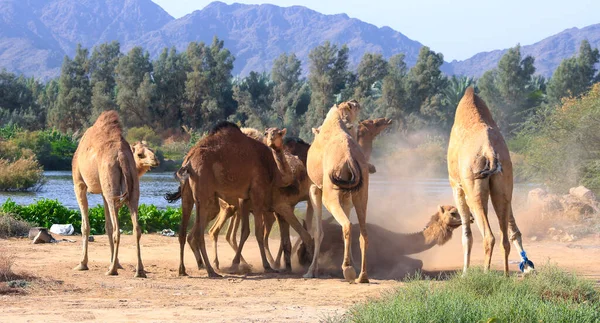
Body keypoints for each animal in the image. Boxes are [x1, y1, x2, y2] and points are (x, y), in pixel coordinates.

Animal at [71, 111, 159, 278]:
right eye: (140, 154)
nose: (155, 160)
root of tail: (121, 156)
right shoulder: (107, 193)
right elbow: (108, 226)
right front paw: (116, 262)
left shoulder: (79, 184)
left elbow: (85, 225)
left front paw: (82, 264)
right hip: (130, 189)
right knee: (136, 228)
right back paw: (139, 271)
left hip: (108, 185)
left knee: (118, 230)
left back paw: (111, 270)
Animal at [164, 122, 314, 278]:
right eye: (267, 133)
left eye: (279, 133)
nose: (272, 139)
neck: (275, 171)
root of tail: (188, 162)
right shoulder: (258, 192)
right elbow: (258, 233)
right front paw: (267, 266)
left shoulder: (246, 198)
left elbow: (246, 231)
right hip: (204, 193)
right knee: (201, 233)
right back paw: (211, 270)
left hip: (188, 193)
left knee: (183, 231)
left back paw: (184, 269)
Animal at [304, 100, 370, 284]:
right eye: (353, 108)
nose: (356, 102)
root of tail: (349, 157)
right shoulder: (347, 195)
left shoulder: (315, 189)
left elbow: (318, 231)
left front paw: (311, 271)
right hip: (361, 193)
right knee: (363, 233)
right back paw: (362, 275)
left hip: (330, 195)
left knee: (346, 224)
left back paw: (347, 270)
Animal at [446, 88, 536, 276]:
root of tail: (489, 151)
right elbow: (514, 230)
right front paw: (527, 267)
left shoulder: (457, 186)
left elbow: (466, 235)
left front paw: (464, 274)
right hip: (504, 185)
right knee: (505, 237)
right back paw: (507, 275)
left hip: (474, 190)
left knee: (488, 236)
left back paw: (486, 275)